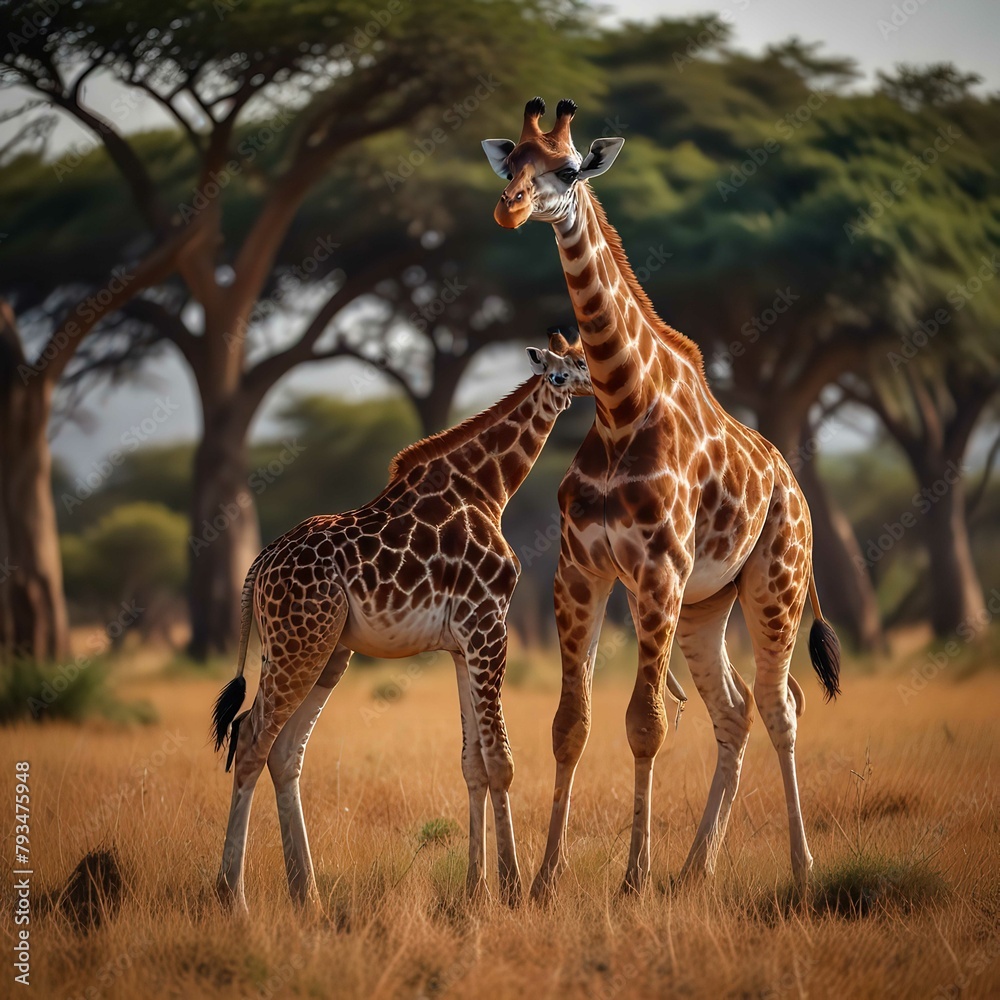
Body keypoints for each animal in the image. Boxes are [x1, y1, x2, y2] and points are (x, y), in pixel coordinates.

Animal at [211, 332, 592, 913]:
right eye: (557, 373)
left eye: (580, 362)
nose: (591, 385)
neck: (489, 489)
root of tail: (261, 562)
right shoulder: (488, 625)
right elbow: (501, 761)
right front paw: (511, 889)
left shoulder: (462, 643)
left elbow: (474, 763)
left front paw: (477, 890)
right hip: (302, 644)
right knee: (252, 738)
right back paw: (234, 897)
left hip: (322, 649)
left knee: (285, 749)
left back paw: (308, 895)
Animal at [482, 98, 841, 899]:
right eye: (510, 160)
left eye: (567, 168)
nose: (509, 207)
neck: (621, 408)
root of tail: (795, 488)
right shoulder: (581, 572)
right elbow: (571, 723)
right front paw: (545, 880)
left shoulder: (657, 571)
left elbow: (646, 723)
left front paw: (630, 881)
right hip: (709, 604)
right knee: (734, 711)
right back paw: (695, 869)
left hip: (774, 583)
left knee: (781, 705)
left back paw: (801, 869)